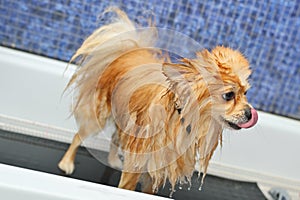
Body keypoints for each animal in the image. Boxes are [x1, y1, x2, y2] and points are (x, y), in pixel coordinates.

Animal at [58, 8, 258, 195]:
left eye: (246, 93)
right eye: (229, 95)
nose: (250, 113)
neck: (180, 121)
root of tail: (128, 51)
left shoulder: (157, 167)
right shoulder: (139, 160)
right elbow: (128, 186)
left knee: (116, 137)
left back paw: (113, 160)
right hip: (98, 117)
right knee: (78, 136)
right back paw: (67, 163)